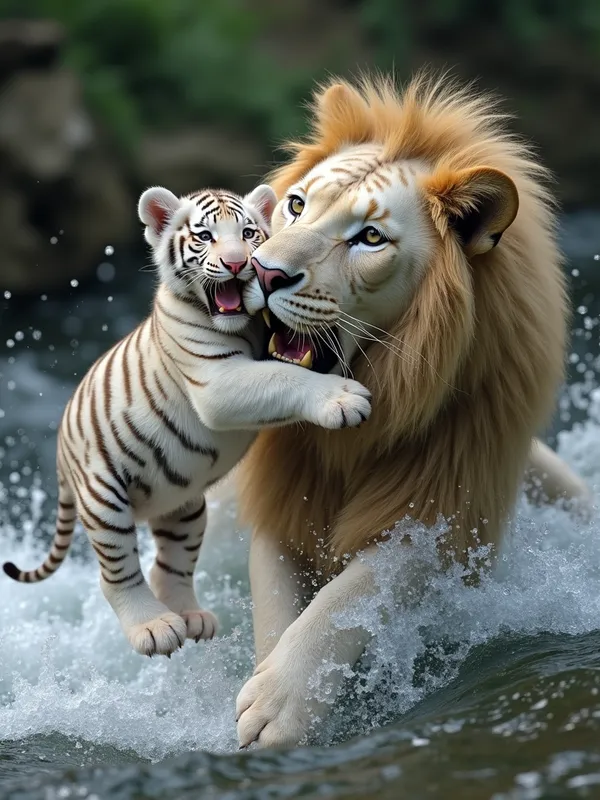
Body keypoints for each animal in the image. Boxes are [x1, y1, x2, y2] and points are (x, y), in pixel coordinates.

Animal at [2, 183, 372, 658]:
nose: (238, 263)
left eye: (249, 233)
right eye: (205, 237)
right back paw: (155, 628)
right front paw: (343, 398)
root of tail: (61, 456)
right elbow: (282, 376)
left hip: (185, 508)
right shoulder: (216, 381)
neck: (243, 326)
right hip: (104, 500)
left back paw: (192, 618)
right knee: (117, 574)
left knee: (168, 567)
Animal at [232, 72, 591, 749]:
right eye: (297, 206)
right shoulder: (280, 499)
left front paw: (280, 705)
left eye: (370, 238)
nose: (261, 272)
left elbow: (353, 593)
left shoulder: (447, 504)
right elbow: (274, 608)